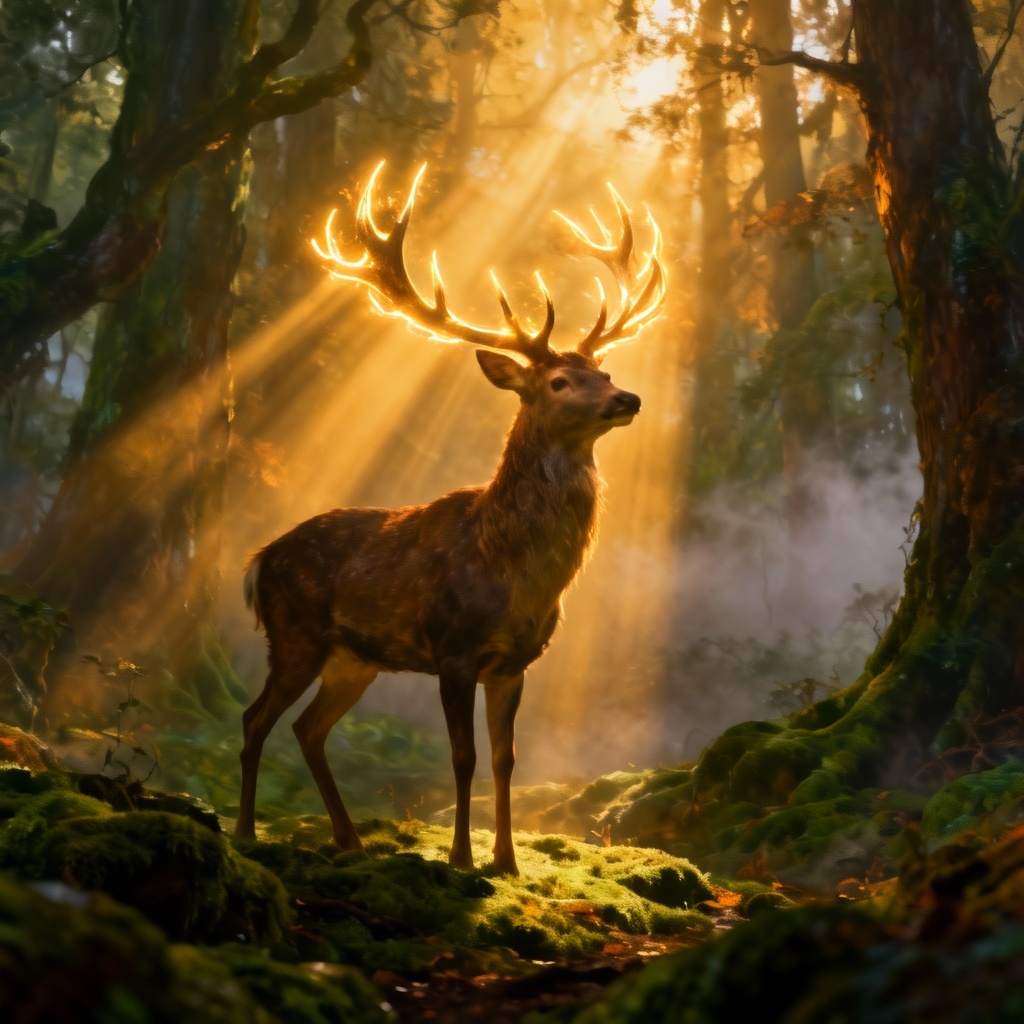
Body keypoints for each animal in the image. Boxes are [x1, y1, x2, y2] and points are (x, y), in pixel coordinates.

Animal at [235, 163, 665, 876]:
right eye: (558, 383)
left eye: (604, 370)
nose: (627, 397)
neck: (511, 570)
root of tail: (257, 560)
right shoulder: (454, 648)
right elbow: (462, 759)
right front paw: (463, 858)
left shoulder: (515, 662)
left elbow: (505, 759)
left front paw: (507, 861)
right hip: (294, 634)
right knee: (253, 720)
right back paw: (245, 833)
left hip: (354, 658)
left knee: (306, 727)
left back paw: (350, 840)